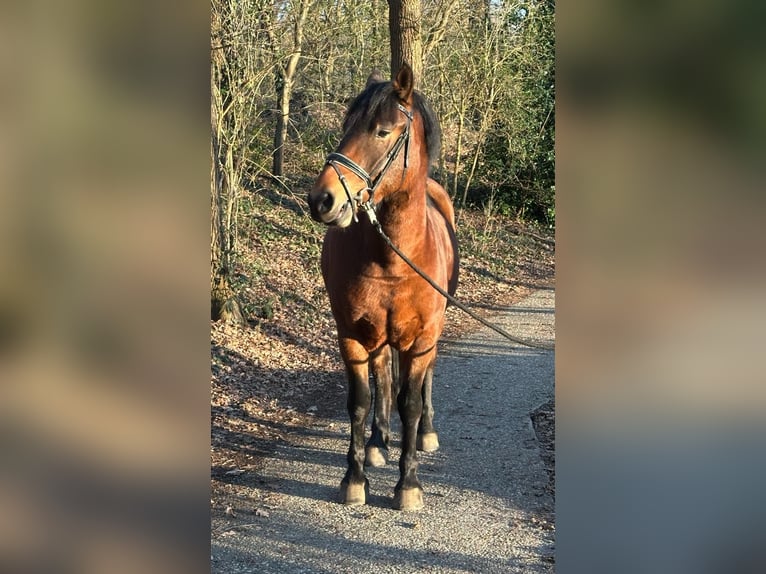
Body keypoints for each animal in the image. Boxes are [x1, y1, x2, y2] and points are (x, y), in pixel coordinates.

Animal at [307, 64, 459, 511]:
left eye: (383, 131)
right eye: (346, 126)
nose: (321, 199)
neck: (392, 258)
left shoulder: (422, 338)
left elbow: (410, 402)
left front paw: (408, 484)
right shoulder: (352, 335)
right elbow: (360, 400)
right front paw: (354, 478)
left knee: (422, 382)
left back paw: (425, 433)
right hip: (378, 337)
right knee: (383, 378)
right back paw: (378, 442)